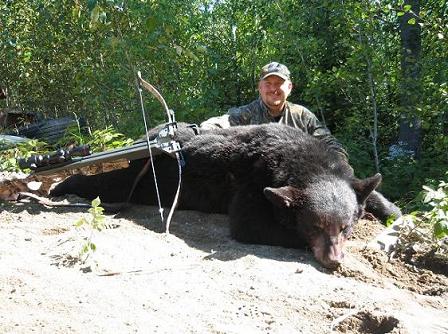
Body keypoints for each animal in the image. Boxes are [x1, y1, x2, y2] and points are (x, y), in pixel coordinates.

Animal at [51, 122, 400, 268]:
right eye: (314, 226)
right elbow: (250, 225)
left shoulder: (345, 175)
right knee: (107, 183)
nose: (334, 260)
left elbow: (374, 192)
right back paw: (59, 185)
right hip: (143, 177)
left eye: (345, 227)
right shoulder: (253, 185)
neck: (303, 162)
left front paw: (389, 212)